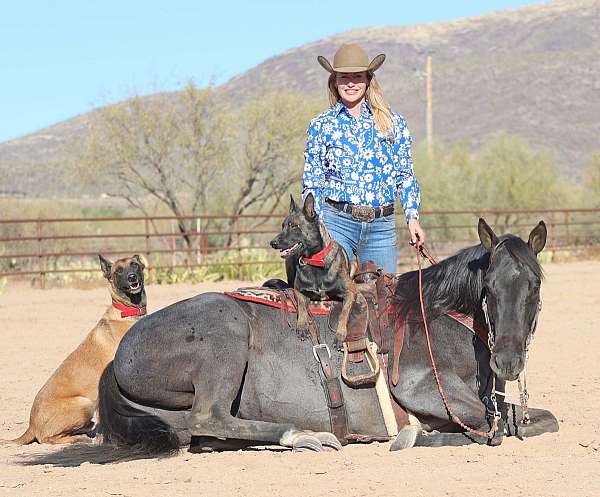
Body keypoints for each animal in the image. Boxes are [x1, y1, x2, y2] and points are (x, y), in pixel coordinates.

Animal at [6, 254, 146, 444]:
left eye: (135, 265)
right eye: (119, 271)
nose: (132, 277)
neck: (128, 312)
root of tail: (31, 426)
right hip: (83, 403)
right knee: (48, 438)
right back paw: (79, 438)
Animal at [97, 219, 556, 456]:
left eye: (534, 284)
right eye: (489, 287)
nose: (507, 361)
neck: (437, 318)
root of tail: (118, 355)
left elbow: (536, 420)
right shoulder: (419, 387)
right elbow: (485, 428)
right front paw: (412, 435)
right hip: (225, 337)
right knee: (208, 416)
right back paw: (302, 435)